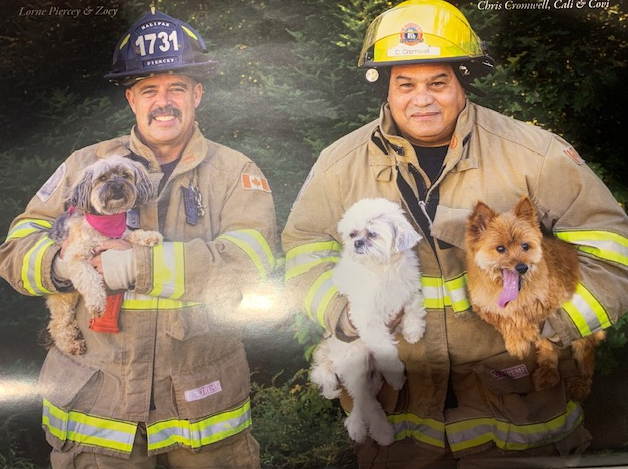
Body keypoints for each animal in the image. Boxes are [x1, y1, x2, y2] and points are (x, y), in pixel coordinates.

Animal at [46, 155, 162, 352]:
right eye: (102, 178)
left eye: (125, 175)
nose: (117, 186)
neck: (106, 220)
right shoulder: (76, 257)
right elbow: (90, 279)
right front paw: (97, 303)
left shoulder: (121, 233)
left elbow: (132, 234)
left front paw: (149, 236)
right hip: (64, 299)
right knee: (57, 324)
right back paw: (71, 344)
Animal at [310, 197, 426, 442]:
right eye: (353, 234)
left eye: (372, 233)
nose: (357, 243)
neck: (382, 269)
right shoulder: (368, 321)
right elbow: (386, 351)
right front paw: (396, 375)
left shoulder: (409, 289)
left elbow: (414, 307)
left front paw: (413, 331)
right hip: (356, 362)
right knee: (364, 400)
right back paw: (379, 431)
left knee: (365, 399)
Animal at [466, 196, 604, 400]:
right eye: (500, 248)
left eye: (525, 246)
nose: (522, 267)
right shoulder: (485, 308)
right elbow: (505, 320)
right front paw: (517, 342)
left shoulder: (552, 300)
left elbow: (529, 311)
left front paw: (526, 330)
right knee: (548, 349)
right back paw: (547, 374)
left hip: (582, 332)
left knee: (585, 357)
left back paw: (580, 384)